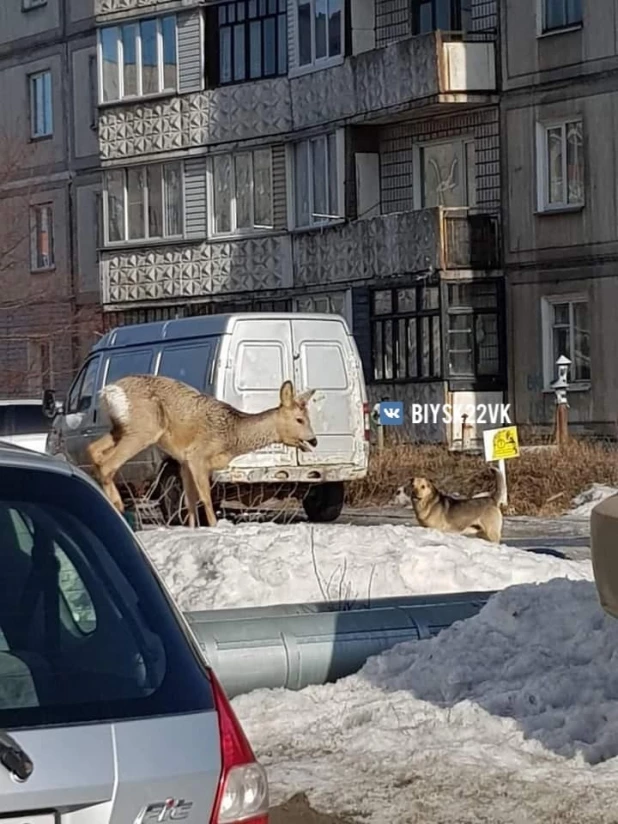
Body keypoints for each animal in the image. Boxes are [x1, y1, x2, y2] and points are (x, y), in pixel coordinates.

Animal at [85, 374, 318, 528]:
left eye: (309, 418)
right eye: (299, 419)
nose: (314, 441)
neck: (232, 436)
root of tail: (108, 392)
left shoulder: (184, 462)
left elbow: (189, 502)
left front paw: (192, 528)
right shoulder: (197, 455)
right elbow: (204, 497)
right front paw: (214, 527)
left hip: (121, 429)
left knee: (94, 450)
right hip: (144, 429)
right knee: (107, 464)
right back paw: (118, 505)